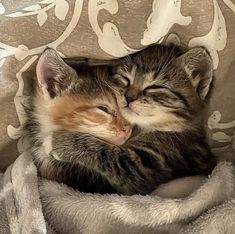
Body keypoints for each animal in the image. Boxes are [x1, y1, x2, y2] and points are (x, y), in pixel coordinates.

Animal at [24, 44, 217, 195]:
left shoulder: (147, 166)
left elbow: (107, 154)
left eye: (155, 87)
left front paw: (57, 141)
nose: (129, 97)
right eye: (125, 80)